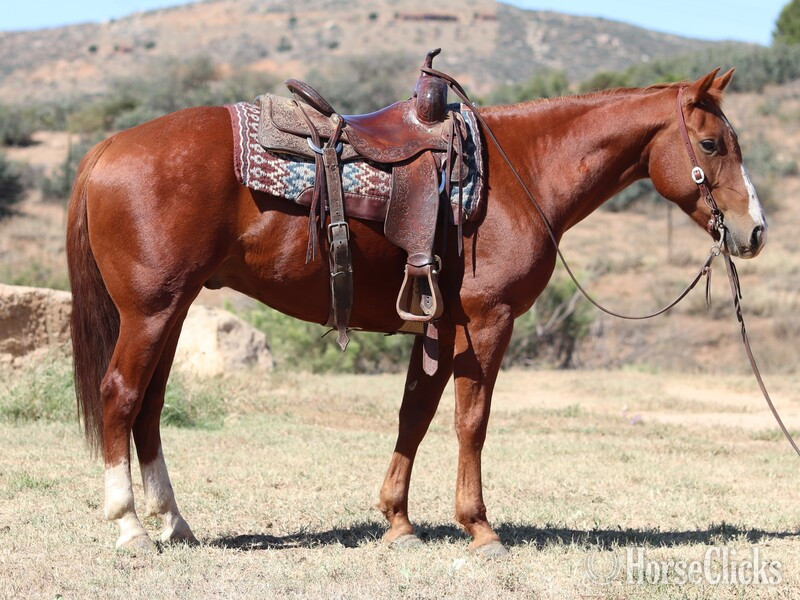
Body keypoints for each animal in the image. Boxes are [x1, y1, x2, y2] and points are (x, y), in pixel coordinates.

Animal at [66, 68, 767, 554]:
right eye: (711, 144)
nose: (754, 232)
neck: (523, 172)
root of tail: (107, 148)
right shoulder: (488, 321)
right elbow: (470, 422)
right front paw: (479, 528)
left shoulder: (438, 324)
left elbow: (415, 414)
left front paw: (399, 522)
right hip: (151, 311)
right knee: (120, 395)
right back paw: (130, 527)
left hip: (173, 309)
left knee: (150, 406)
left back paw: (173, 522)